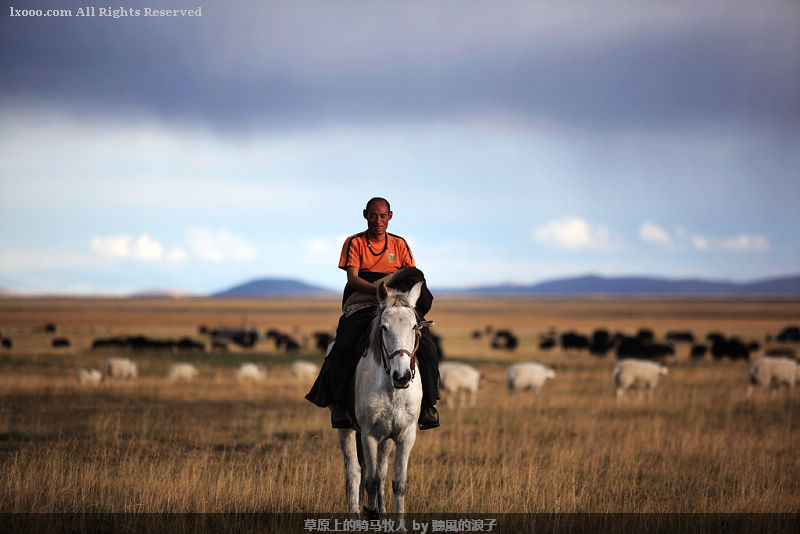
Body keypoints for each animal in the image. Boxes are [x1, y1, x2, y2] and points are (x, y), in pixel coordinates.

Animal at [336, 280, 432, 520]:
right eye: (384, 327)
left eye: (414, 327)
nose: (402, 376)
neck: (392, 389)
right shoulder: (368, 434)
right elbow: (369, 481)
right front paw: (369, 513)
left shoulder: (405, 434)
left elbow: (397, 483)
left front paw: (397, 523)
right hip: (346, 430)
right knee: (354, 473)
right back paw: (355, 515)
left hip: (386, 438)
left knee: (380, 471)